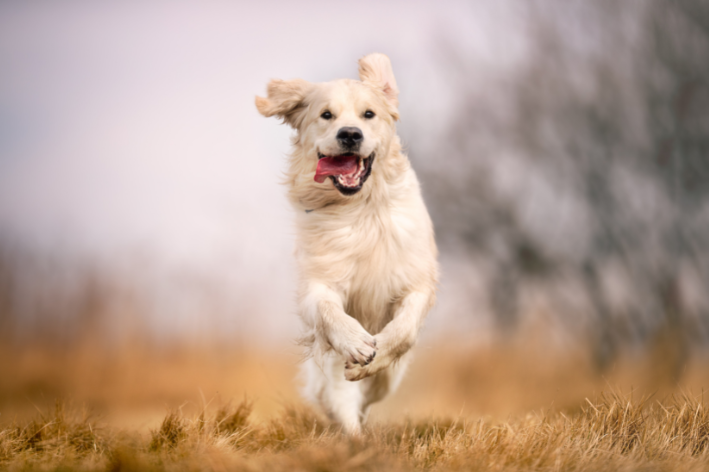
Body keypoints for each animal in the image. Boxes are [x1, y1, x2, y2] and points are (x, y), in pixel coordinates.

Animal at [254, 53, 436, 434]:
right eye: (326, 115)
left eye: (369, 114)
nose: (350, 134)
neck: (361, 209)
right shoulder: (318, 282)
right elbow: (328, 311)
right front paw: (355, 342)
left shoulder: (418, 280)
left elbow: (404, 329)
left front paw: (375, 354)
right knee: (337, 396)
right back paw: (352, 435)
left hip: (391, 379)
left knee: (370, 391)